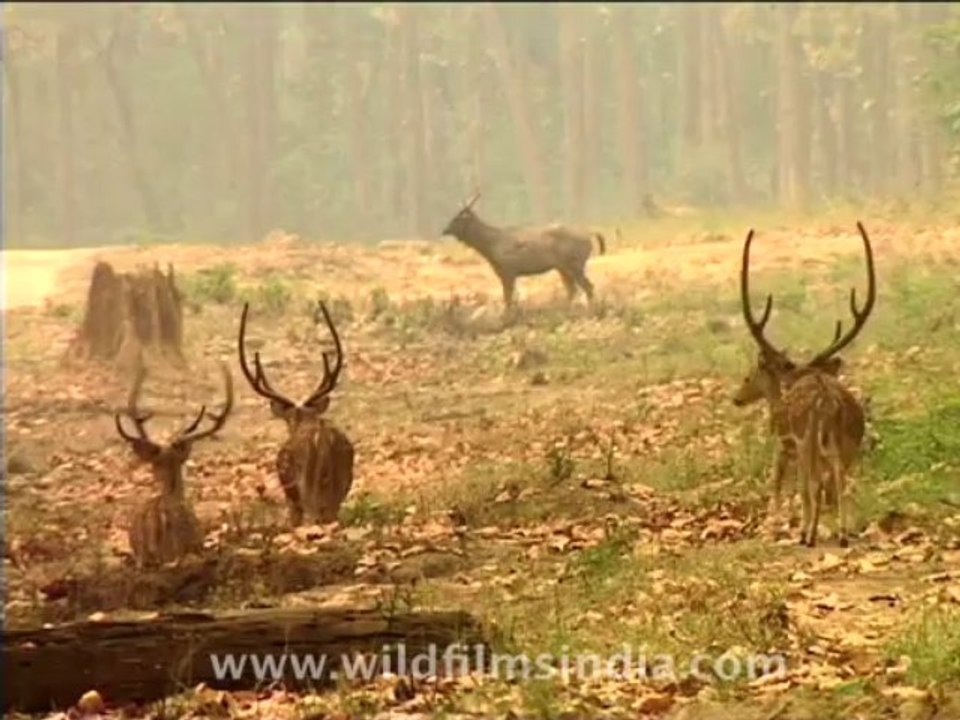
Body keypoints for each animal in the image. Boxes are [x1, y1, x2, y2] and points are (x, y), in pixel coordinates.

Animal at [441, 191, 606, 312]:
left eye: (457, 219)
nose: (444, 230)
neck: (491, 247)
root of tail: (590, 235)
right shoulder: (504, 272)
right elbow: (510, 297)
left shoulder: (508, 270)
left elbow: (508, 298)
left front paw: (507, 318)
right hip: (563, 267)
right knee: (572, 290)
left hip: (575, 263)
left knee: (587, 287)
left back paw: (591, 310)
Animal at [734, 222, 875, 547]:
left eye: (749, 376)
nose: (737, 398)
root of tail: (828, 402)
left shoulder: (787, 445)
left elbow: (796, 487)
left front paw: (794, 528)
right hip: (847, 444)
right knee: (839, 482)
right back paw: (842, 533)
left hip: (807, 440)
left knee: (814, 483)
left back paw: (809, 535)